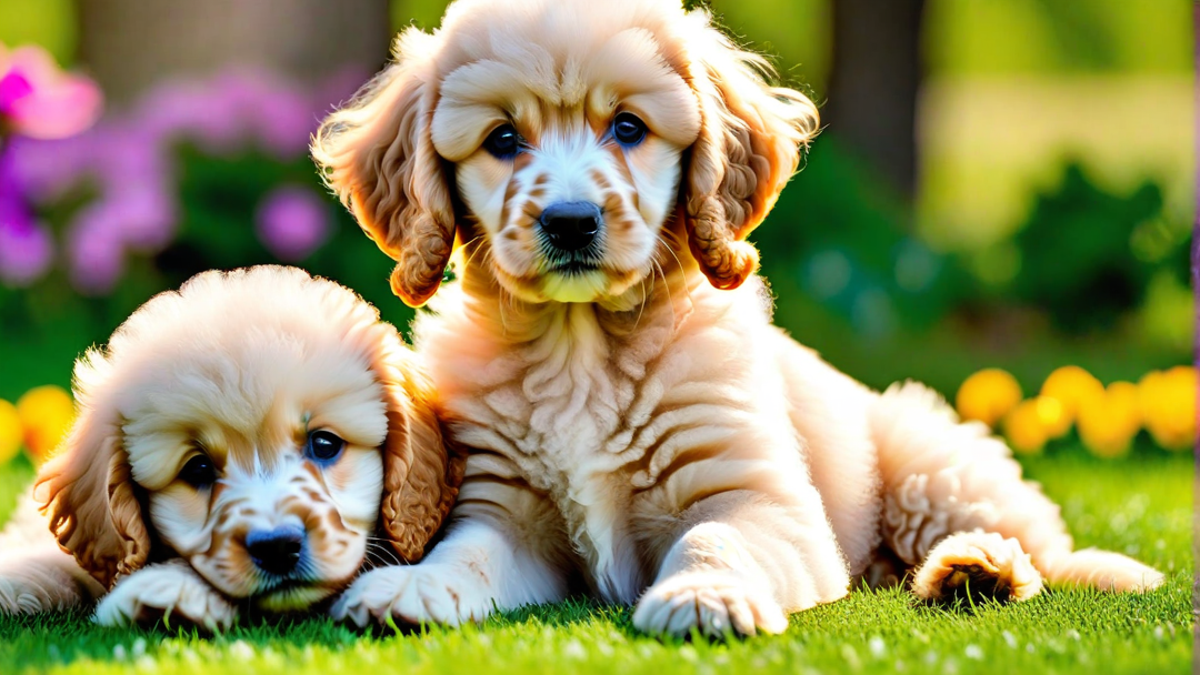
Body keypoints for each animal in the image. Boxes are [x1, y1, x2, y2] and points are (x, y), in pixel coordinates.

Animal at [309, 0, 1161, 634]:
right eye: (503, 139)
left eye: (628, 127)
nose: (572, 222)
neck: (581, 346)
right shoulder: (505, 508)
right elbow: (471, 555)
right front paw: (410, 588)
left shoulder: (762, 499)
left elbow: (714, 535)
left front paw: (702, 594)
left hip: (930, 461)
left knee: (1036, 546)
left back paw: (982, 568)